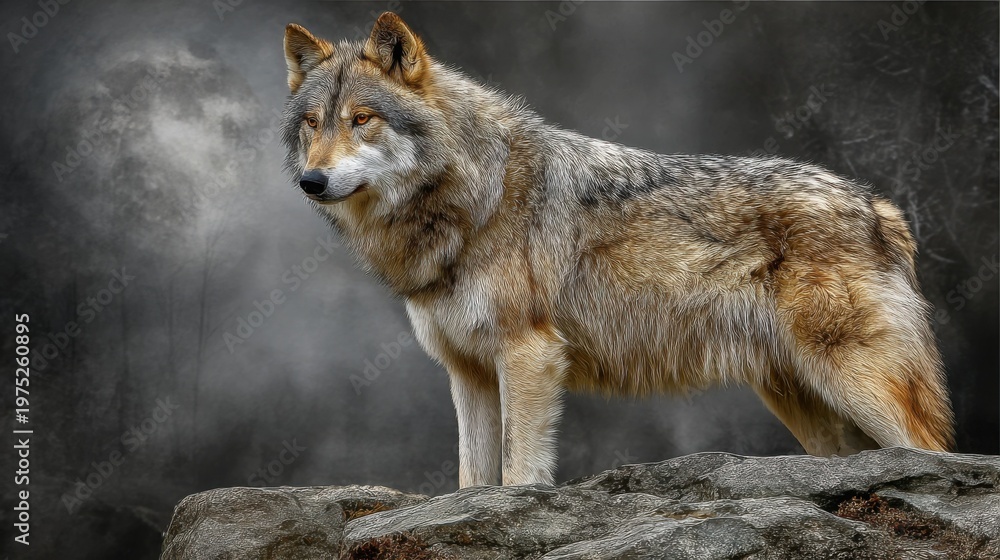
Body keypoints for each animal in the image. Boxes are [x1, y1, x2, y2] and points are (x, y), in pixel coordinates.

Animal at [280, 12, 954, 487]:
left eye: (363, 119)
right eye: (313, 122)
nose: (311, 181)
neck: (473, 197)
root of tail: (877, 205)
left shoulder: (528, 355)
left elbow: (518, 474)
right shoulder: (467, 372)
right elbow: (473, 480)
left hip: (853, 383)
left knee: (935, 453)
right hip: (808, 406)